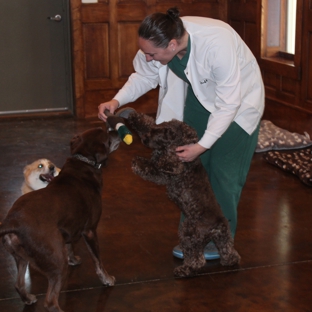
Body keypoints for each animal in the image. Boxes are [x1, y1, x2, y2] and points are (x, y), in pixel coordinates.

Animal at [0, 126, 120, 312]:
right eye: (107, 135)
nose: (116, 130)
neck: (83, 163)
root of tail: (11, 222)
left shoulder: (69, 228)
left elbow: (70, 246)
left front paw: (74, 259)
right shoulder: (90, 231)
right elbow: (98, 261)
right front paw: (107, 279)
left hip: (21, 258)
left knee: (18, 285)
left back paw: (27, 298)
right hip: (57, 264)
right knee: (50, 302)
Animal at [128, 111, 240, 276]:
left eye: (165, 133)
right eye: (157, 128)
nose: (145, 139)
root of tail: (216, 226)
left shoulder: (168, 169)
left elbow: (153, 166)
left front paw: (138, 161)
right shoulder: (162, 175)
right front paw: (136, 118)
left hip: (188, 231)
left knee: (197, 260)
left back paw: (184, 269)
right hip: (222, 238)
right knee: (229, 253)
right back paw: (230, 261)